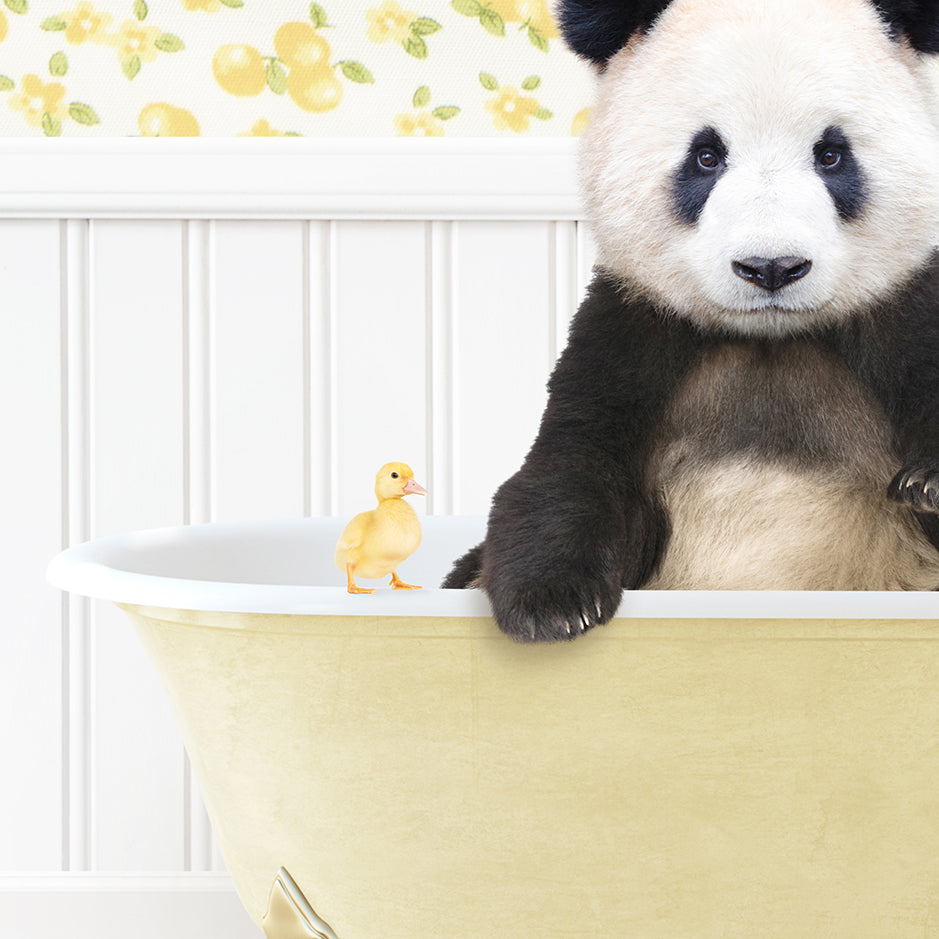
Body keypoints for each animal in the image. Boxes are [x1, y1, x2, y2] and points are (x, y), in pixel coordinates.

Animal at [444, 0, 939, 644]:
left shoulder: (903, 310)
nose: (771, 268)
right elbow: (570, 465)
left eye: (831, 154)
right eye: (707, 156)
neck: (769, 340)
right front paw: (551, 606)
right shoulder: (633, 331)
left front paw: (927, 484)